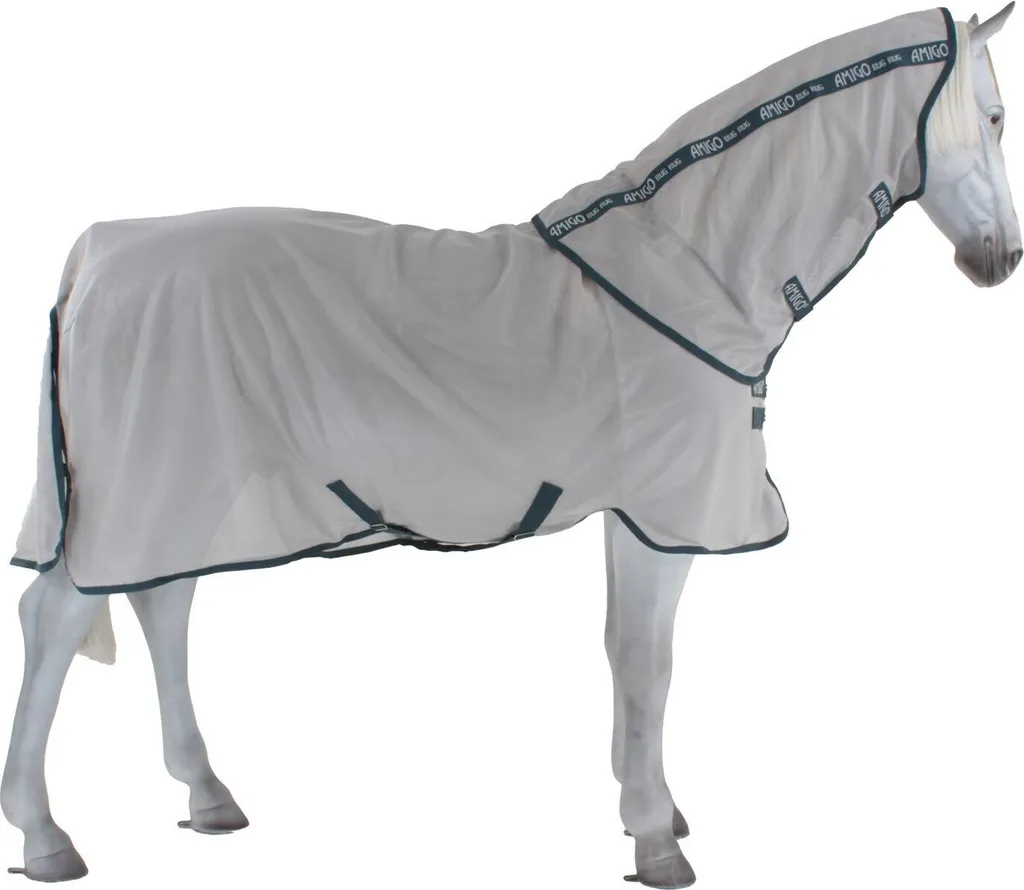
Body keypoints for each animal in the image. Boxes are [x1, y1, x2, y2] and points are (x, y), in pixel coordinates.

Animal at [2, 6, 1019, 888]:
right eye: (997, 116)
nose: (1000, 259)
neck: (693, 269)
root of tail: (96, 256)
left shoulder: (628, 511)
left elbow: (620, 652)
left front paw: (650, 806)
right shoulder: (663, 516)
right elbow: (649, 663)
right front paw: (656, 840)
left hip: (189, 484)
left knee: (161, 602)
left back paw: (208, 795)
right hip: (148, 484)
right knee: (56, 617)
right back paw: (46, 835)